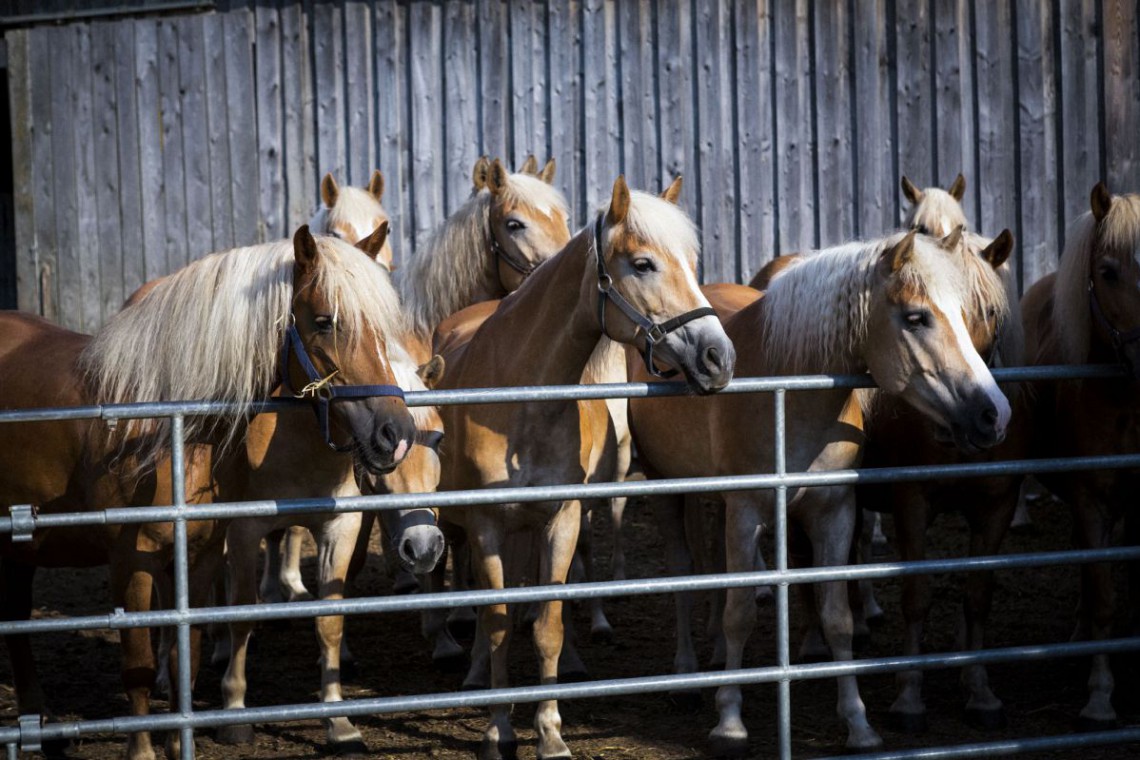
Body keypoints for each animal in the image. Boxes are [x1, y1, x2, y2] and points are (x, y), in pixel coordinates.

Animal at [0, 225, 414, 760]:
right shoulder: (131, 561)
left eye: (384, 328)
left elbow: (190, 654)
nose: (395, 433)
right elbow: (139, 663)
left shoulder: (199, 555)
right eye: (324, 321)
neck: (162, 425)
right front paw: (146, 750)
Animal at [430, 175, 734, 756]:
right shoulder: (486, 525)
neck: (520, 400)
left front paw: (550, 732)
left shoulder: (562, 517)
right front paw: (498, 729)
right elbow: (497, 621)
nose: (719, 358)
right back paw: (475, 670)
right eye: (643, 263)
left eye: (691, 260)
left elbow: (547, 622)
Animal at [629, 227, 1012, 756]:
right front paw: (729, 722)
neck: (788, 391)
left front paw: (858, 723)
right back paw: (686, 674)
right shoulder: (745, 512)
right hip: (665, 486)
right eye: (916, 317)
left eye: (974, 312)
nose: (993, 413)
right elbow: (740, 614)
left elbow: (837, 618)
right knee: (682, 573)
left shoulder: (834, 512)